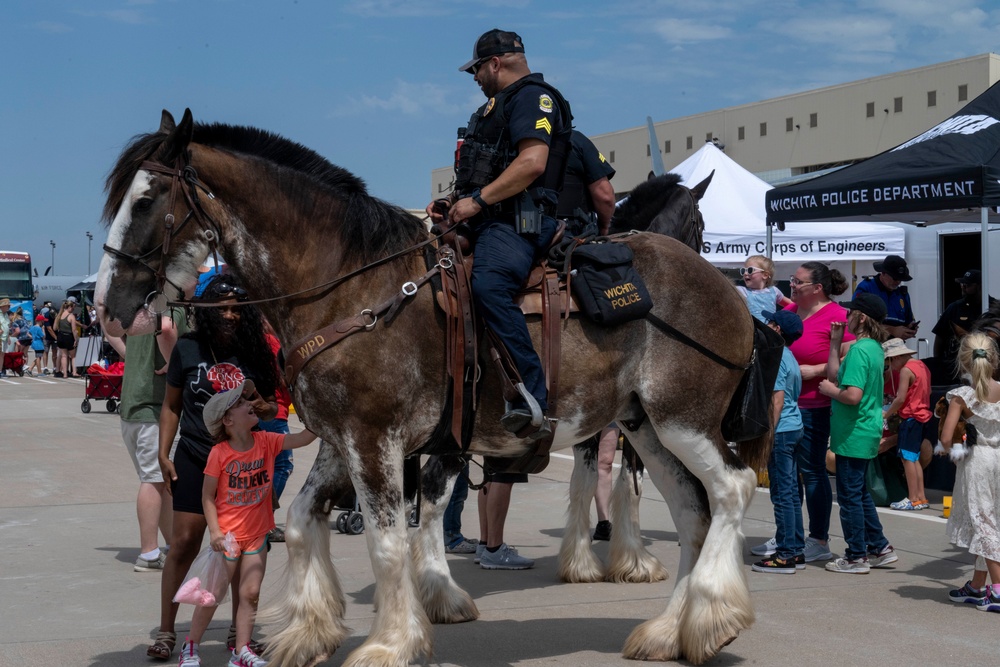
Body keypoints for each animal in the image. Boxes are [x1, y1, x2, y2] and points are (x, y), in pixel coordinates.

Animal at [95, 111, 764, 667]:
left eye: (147, 200)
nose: (107, 305)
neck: (347, 285)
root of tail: (723, 286)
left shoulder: (376, 441)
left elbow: (390, 543)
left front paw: (390, 643)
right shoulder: (342, 442)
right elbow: (303, 519)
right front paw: (310, 631)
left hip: (682, 420)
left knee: (731, 489)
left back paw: (713, 616)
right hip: (646, 426)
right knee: (692, 511)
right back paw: (671, 631)